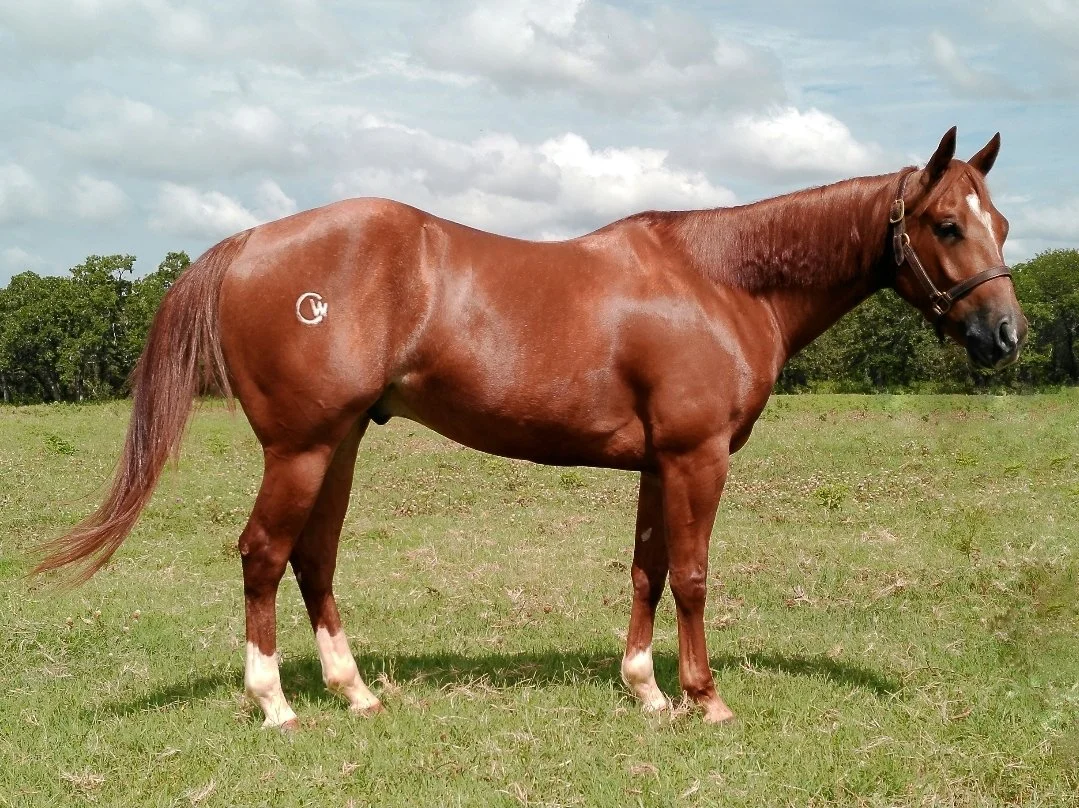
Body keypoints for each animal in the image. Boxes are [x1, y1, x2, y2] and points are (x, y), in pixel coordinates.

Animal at [35, 127, 1025, 728]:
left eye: (1003, 222)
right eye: (945, 224)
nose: (1005, 334)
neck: (720, 279)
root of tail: (248, 244)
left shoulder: (656, 465)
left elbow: (646, 570)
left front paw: (644, 690)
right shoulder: (695, 458)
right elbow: (693, 577)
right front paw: (704, 699)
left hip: (340, 445)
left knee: (313, 559)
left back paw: (355, 693)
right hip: (302, 448)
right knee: (262, 555)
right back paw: (274, 703)